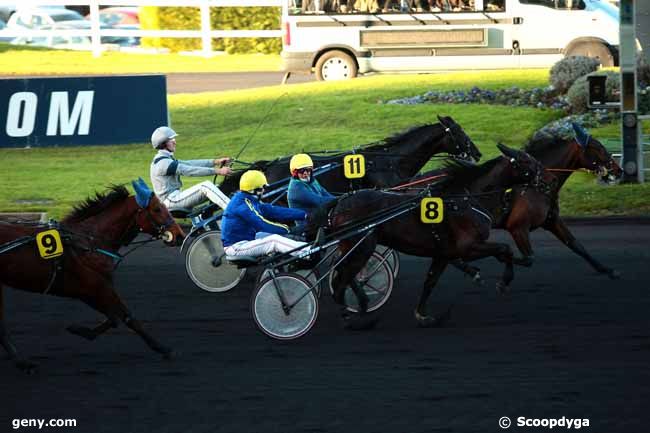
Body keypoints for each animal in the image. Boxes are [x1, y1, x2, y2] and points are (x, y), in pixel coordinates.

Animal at [0, 179, 185, 372]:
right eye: (157, 209)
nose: (180, 235)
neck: (88, 241)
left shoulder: (87, 290)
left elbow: (114, 317)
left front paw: (80, 330)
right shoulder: (94, 286)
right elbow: (126, 317)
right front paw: (163, 348)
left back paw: (20, 361)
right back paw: (23, 362)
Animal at [326, 143, 544, 326]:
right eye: (526, 160)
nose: (543, 178)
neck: (463, 199)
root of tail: (339, 204)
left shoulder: (443, 253)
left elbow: (430, 281)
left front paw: (422, 314)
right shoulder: (467, 247)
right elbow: (504, 248)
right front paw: (504, 281)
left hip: (353, 247)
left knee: (340, 271)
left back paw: (360, 302)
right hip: (362, 246)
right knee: (341, 277)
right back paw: (350, 314)